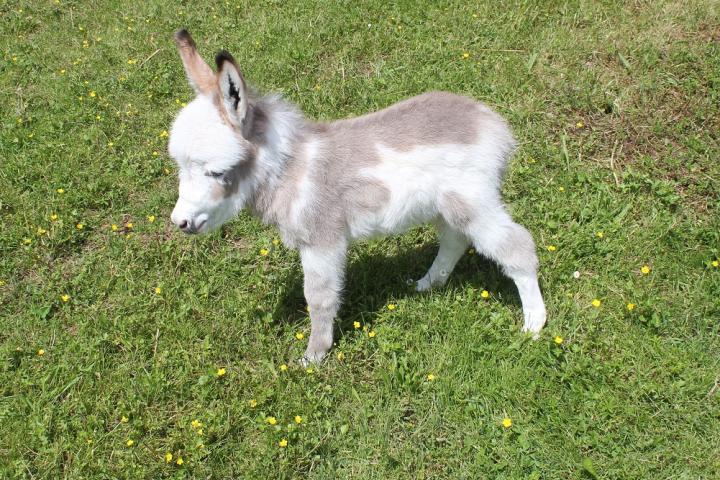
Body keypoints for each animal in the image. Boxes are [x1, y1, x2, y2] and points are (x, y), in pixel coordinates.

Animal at [167, 31, 544, 364]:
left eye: (216, 172)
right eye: (180, 166)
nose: (180, 222)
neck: (289, 168)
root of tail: (492, 122)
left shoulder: (322, 240)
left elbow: (319, 296)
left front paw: (314, 356)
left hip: (472, 200)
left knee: (516, 246)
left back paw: (534, 325)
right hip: (446, 206)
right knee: (455, 240)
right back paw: (425, 284)